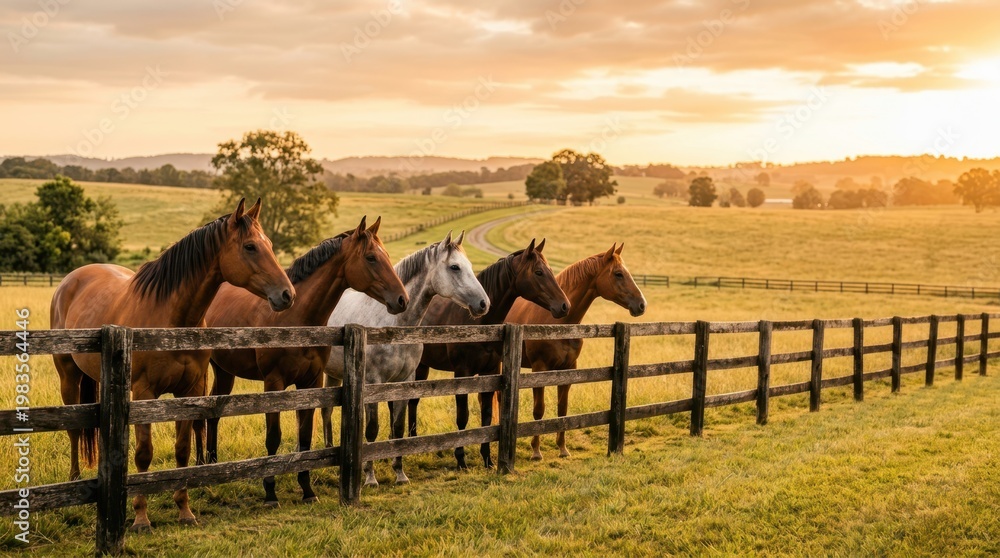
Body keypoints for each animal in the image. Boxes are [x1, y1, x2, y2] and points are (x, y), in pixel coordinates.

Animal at [50, 198, 294, 532]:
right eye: (250, 247)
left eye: (268, 244)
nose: (287, 294)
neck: (170, 318)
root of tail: (70, 280)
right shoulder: (143, 394)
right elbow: (143, 454)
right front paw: (141, 517)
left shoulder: (188, 391)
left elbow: (182, 450)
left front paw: (184, 509)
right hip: (68, 376)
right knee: (74, 430)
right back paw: (74, 481)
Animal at [203, 216, 408, 506]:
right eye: (371, 257)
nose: (402, 299)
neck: (296, 318)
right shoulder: (274, 383)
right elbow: (273, 438)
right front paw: (270, 492)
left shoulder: (311, 382)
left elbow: (306, 437)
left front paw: (307, 489)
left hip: (224, 372)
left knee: (214, 411)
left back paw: (212, 464)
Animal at [321, 230, 489, 487]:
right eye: (455, 267)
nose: (483, 304)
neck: (393, 325)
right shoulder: (372, 383)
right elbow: (372, 429)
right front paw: (370, 477)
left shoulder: (404, 380)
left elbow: (398, 427)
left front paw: (399, 473)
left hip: (333, 374)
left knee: (328, 411)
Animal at [409, 238, 571, 469]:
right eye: (539, 272)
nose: (564, 306)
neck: (477, 322)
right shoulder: (463, 373)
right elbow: (463, 416)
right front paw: (461, 460)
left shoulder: (490, 371)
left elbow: (486, 416)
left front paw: (487, 459)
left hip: (422, 367)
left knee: (412, 401)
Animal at [505, 243, 646, 460]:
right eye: (618, 274)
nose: (641, 304)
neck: (557, 322)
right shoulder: (539, 370)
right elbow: (539, 411)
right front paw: (536, 451)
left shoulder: (568, 369)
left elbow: (562, 409)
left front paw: (563, 448)